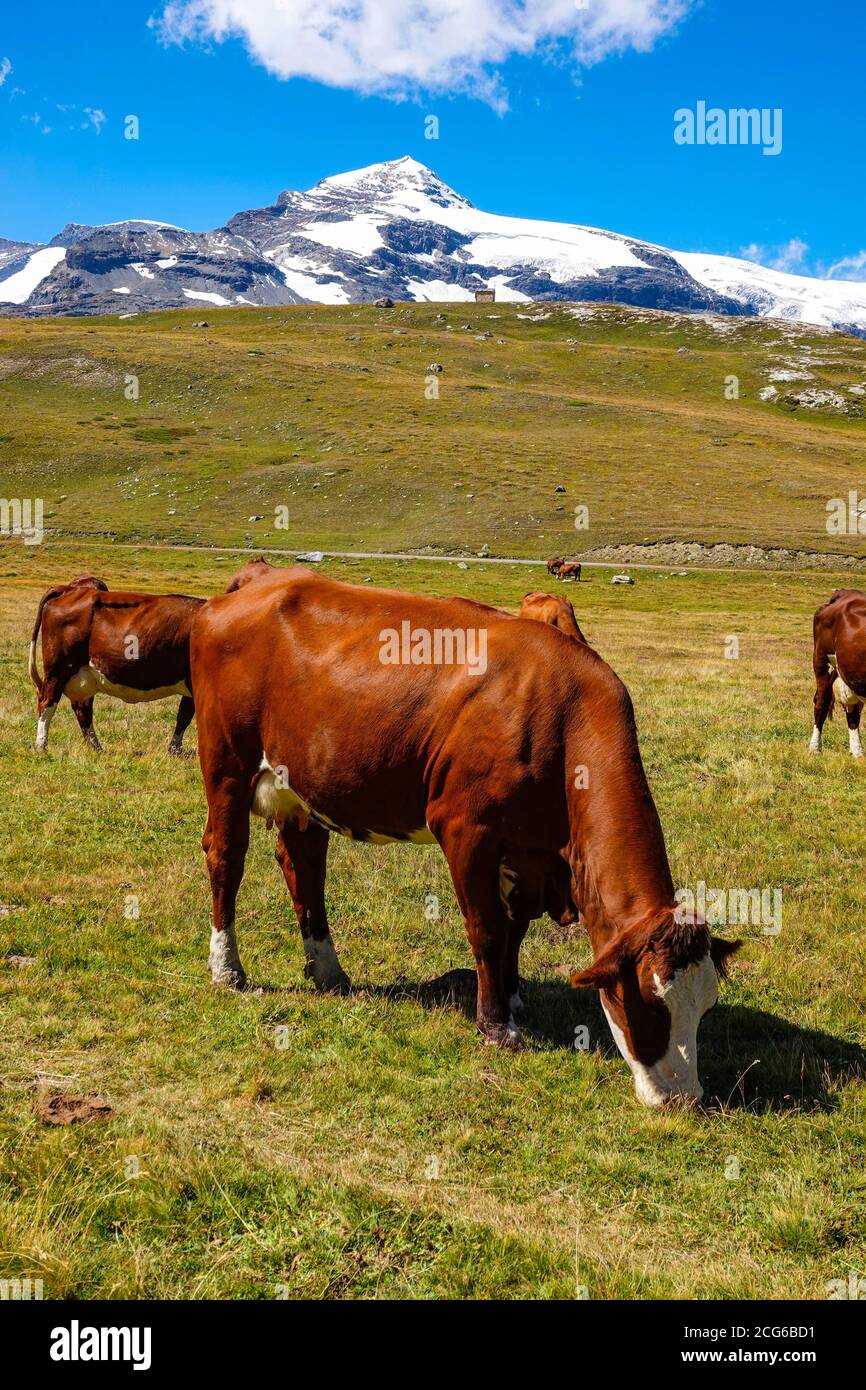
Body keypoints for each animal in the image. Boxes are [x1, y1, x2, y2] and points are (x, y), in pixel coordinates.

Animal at [27, 572, 204, 756]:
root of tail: (69, 590)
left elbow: (184, 715)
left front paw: (175, 750)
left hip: (82, 676)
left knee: (82, 709)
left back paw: (96, 747)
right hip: (57, 670)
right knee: (47, 702)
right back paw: (41, 746)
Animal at [189, 564, 739, 1106]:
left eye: (707, 1007)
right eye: (650, 1004)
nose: (686, 1098)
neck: (561, 719)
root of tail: (260, 579)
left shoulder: (529, 852)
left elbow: (516, 928)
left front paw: (514, 997)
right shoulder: (466, 829)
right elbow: (487, 928)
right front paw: (496, 1026)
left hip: (303, 786)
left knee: (303, 867)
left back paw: (328, 971)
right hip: (227, 767)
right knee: (226, 858)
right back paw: (227, 968)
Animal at [811, 586, 866, 761]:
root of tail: (845, 593)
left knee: (852, 709)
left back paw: (857, 752)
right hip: (823, 662)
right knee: (821, 702)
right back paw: (815, 748)